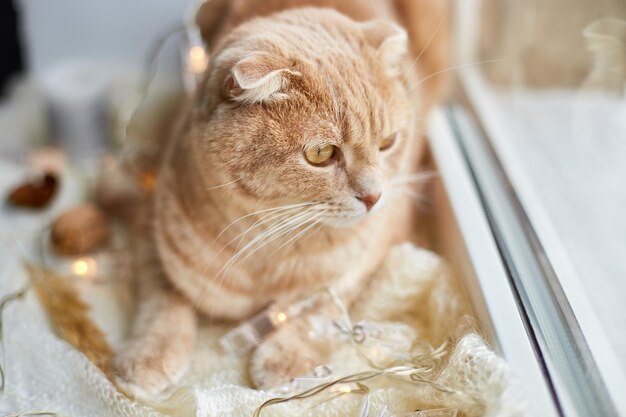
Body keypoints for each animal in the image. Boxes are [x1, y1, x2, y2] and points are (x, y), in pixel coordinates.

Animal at [113, 0, 448, 394]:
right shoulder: (149, 221)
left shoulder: (375, 249)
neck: (269, 241)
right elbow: (161, 297)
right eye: (321, 153)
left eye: (388, 143)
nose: (374, 197)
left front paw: (286, 356)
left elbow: (321, 310)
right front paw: (149, 354)